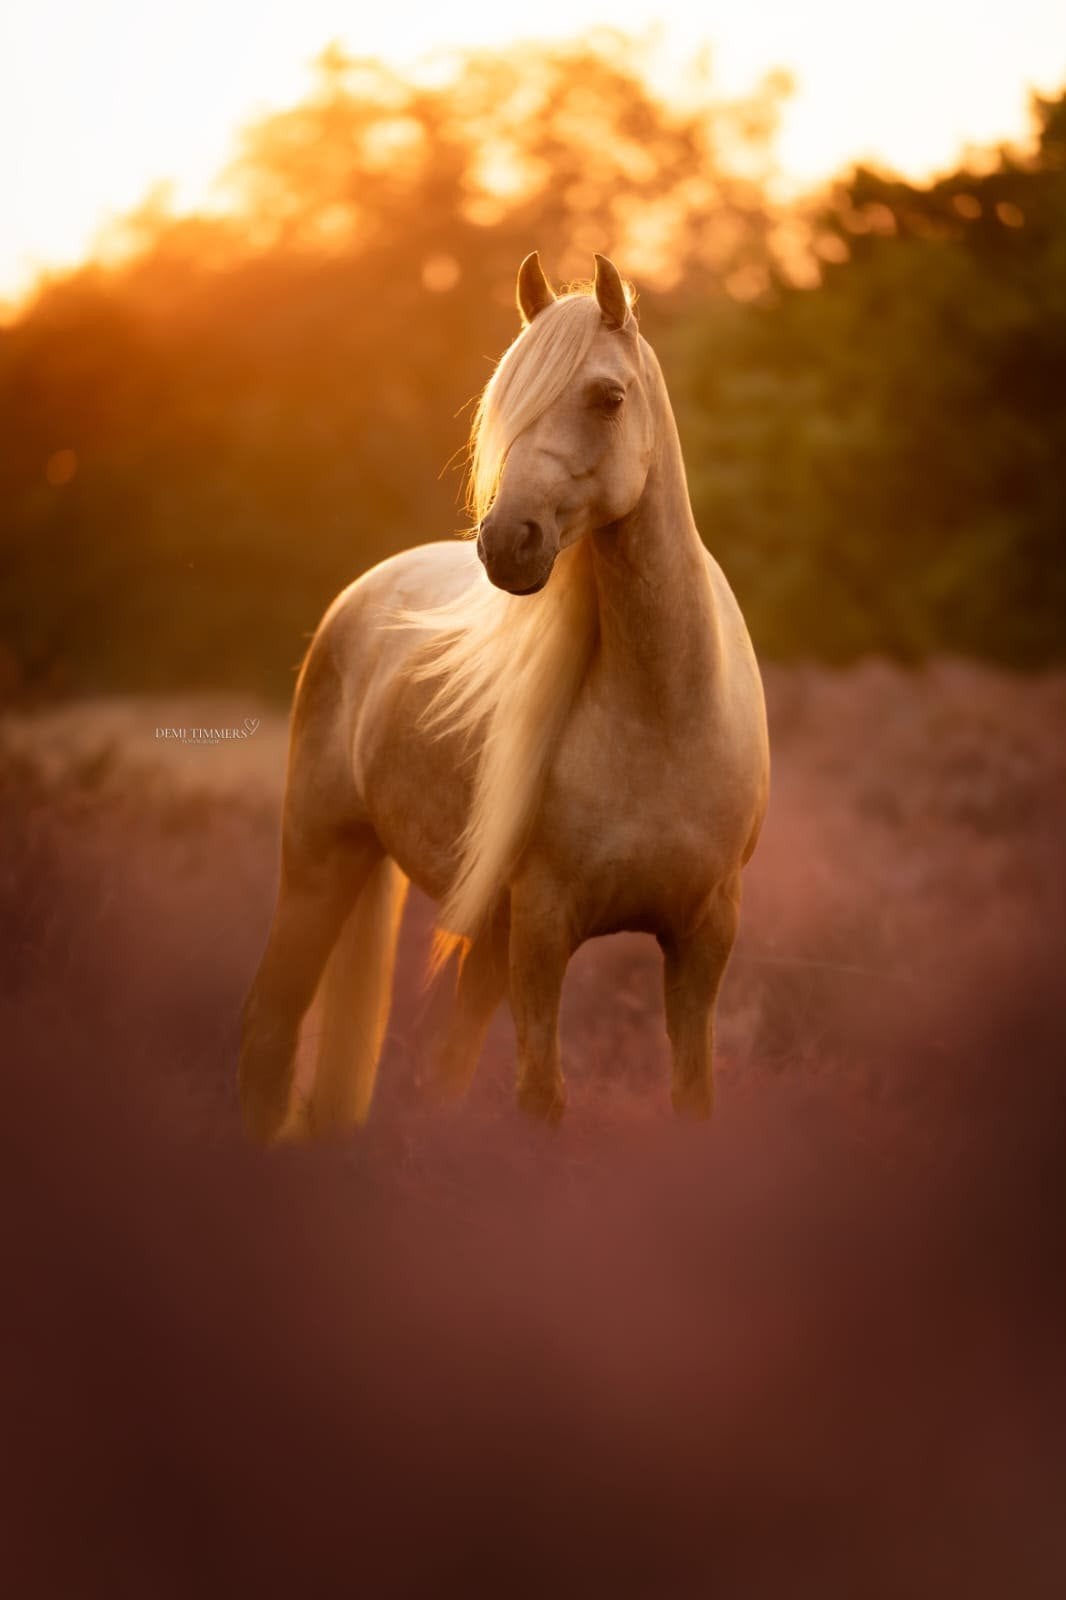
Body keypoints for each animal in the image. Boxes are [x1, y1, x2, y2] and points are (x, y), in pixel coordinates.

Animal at [239, 252, 769, 1141]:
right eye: (505, 402)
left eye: (609, 396)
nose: (506, 542)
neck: (665, 717)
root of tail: (361, 594)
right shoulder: (545, 926)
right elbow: (540, 1099)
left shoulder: (706, 933)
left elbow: (691, 1095)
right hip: (321, 866)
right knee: (270, 1039)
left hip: (483, 931)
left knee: (438, 1071)